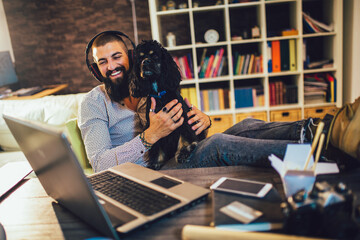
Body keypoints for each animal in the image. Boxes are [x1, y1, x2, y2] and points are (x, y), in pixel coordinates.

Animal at [131, 39, 207, 169]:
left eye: (155, 56)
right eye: (140, 59)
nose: (145, 62)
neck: (159, 94)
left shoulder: (183, 118)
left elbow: (185, 136)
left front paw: (183, 152)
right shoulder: (153, 126)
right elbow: (156, 147)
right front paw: (156, 163)